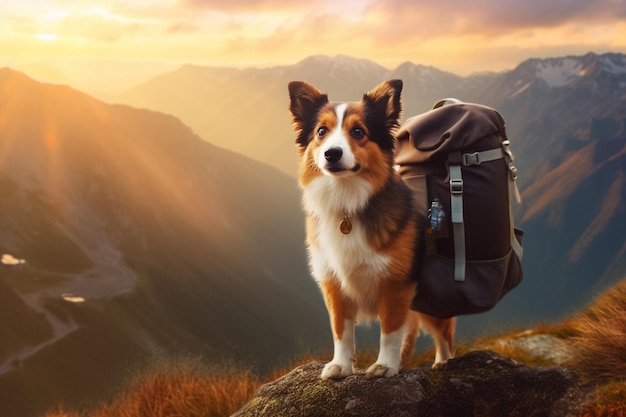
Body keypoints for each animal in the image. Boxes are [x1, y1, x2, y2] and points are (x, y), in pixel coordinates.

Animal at [286, 79, 454, 378]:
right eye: (321, 131)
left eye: (358, 131)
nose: (332, 153)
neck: (347, 204)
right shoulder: (334, 284)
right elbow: (341, 331)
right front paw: (341, 366)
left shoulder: (395, 284)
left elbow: (390, 331)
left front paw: (385, 365)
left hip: (433, 300)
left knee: (443, 333)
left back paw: (442, 361)